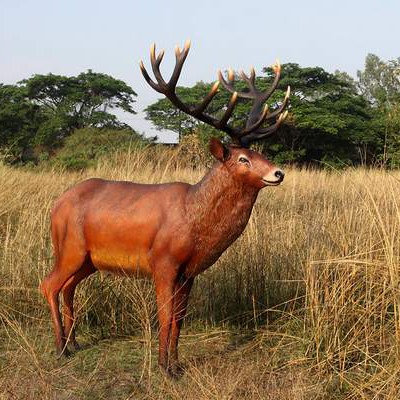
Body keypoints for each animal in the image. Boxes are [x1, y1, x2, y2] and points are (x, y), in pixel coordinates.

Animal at [40, 40, 290, 378]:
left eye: (260, 153)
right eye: (243, 159)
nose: (278, 173)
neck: (196, 225)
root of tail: (57, 204)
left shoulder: (189, 272)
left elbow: (180, 319)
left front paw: (176, 363)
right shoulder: (163, 263)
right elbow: (166, 315)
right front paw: (164, 367)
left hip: (88, 259)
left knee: (68, 288)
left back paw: (74, 343)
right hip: (70, 247)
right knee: (49, 285)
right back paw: (60, 347)